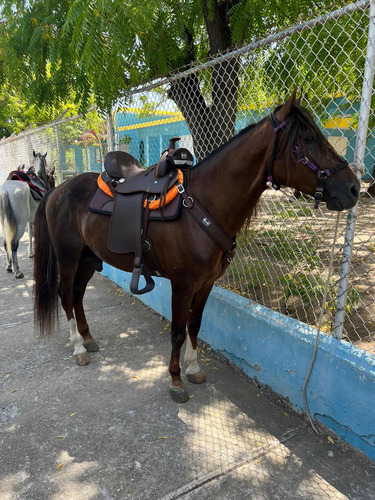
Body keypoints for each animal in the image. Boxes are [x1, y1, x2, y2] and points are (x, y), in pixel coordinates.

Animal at [0, 150, 54, 280]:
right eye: (52, 179)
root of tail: (6, 190)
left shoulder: (30, 218)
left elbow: (30, 233)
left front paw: (31, 252)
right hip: (19, 223)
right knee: (13, 244)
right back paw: (17, 271)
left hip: (4, 223)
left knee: (5, 242)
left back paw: (9, 266)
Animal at [33, 93, 362, 402]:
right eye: (307, 139)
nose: (354, 188)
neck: (203, 205)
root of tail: (57, 190)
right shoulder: (182, 284)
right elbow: (178, 331)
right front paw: (176, 380)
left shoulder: (206, 284)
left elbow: (195, 325)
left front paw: (193, 369)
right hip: (68, 257)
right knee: (65, 294)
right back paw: (78, 348)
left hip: (88, 258)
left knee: (77, 294)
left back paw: (87, 339)